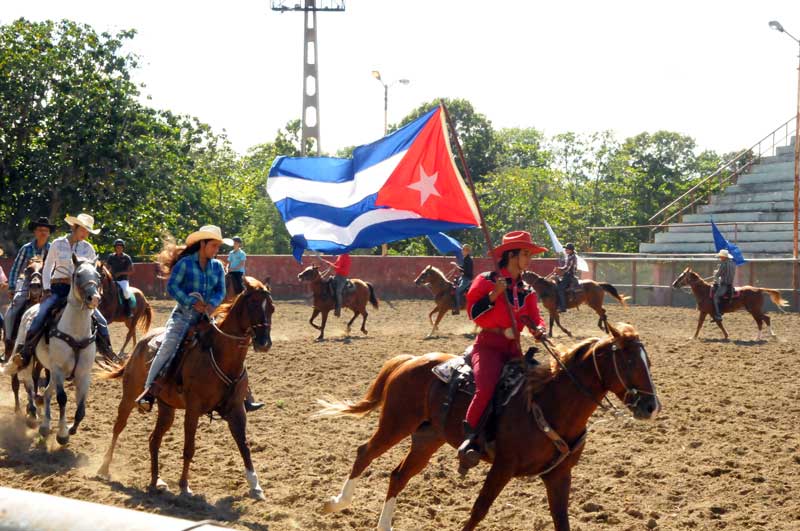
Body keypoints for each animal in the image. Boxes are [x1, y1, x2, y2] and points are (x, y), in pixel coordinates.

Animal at [2, 256, 101, 446]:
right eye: (78, 275)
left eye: (98, 276)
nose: (94, 298)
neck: (76, 333)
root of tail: (31, 309)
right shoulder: (58, 369)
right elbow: (62, 398)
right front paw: (62, 434)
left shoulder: (83, 373)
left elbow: (81, 408)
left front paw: (71, 428)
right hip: (28, 360)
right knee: (29, 385)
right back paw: (33, 415)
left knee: (46, 392)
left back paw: (44, 424)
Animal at [97, 276, 276, 500]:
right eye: (252, 304)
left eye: (272, 308)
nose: (264, 343)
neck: (220, 355)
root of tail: (141, 345)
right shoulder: (193, 409)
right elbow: (189, 448)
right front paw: (184, 486)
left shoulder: (236, 409)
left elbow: (244, 445)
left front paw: (255, 485)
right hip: (129, 397)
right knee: (118, 427)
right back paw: (104, 468)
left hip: (167, 408)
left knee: (154, 439)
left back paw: (157, 481)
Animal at [318, 322, 664, 528]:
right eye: (629, 361)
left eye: (648, 361)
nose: (650, 406)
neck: (550, 401)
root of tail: (410, 360)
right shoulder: (503, 466)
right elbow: (479, 510)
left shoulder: (559, 475)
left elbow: (561, 519)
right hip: (395, 423)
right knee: (364, 453)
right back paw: (336, 503)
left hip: (427, 438)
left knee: (398, 475)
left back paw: (384, 524)